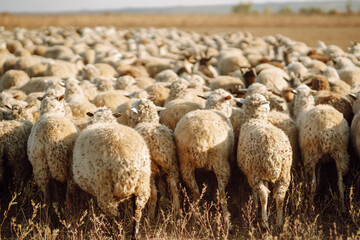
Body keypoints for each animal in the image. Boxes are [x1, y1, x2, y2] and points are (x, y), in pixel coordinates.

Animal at [72, 108, 151, 239]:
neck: (103, 120)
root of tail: (127, 162)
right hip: (142, 186)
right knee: (137, 213)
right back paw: (134, 235)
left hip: (105, 190)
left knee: (116, 218)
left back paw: (116, 234)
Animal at [174, 89, 235, 226]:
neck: (214, 108)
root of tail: (200, 139)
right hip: (220, 162)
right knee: (221, 192)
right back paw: (227, 221)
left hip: (185, 163)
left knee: (196, 191)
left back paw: (195, 217)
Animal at [236, 94, 292, 227]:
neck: (256, 118)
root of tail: (273, 154)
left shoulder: (250, 173)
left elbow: (255, 192)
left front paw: (255, 206)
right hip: (284, 174)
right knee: (280, 197)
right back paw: (279, 222)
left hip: (255, 173)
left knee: (263, 196)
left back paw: (264, 221)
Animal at [292, 84, 348, 212]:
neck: (303, 108)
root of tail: (327, 127)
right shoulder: (321, 159)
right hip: (340, 152)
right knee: (340, 183)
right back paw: (343, 208)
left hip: (311, 153)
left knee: (312, 184)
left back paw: (310, 209)